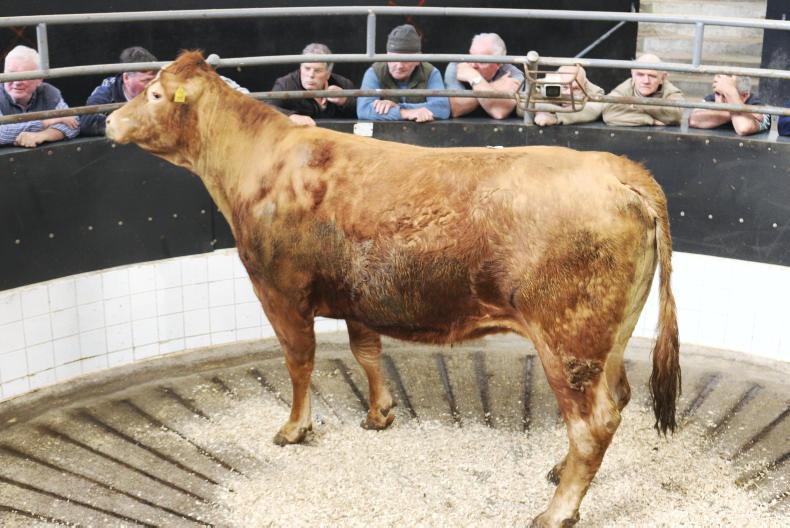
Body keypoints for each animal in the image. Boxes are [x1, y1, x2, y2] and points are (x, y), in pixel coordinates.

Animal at [106, 51, 680, 527]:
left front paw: (295, 428)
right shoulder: (358, 297)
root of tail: (623, 172)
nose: (110, 119)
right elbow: (366, 352)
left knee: (592, 422)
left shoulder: (279, 291)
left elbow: (299, 362)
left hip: (567, 339)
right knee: (617, 399)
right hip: (609, 336)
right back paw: (559, 471)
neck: (257, 166)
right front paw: (379, 413)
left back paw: (557, 510)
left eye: (154, 94)